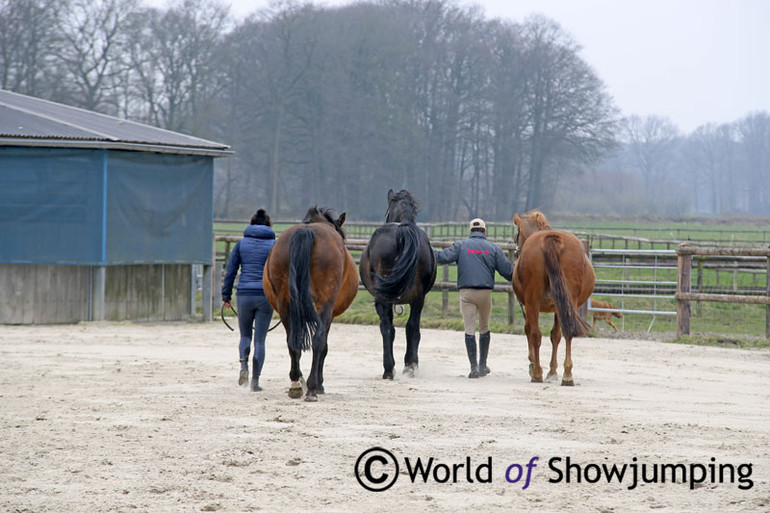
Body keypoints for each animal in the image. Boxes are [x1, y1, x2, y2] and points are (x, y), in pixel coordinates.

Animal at [262, 206, 358, 402]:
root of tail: (306, 231)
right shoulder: (329, 314)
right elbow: (324, 346)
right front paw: (319, 384)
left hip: (285, 305)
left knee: (292, 342)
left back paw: (296, 384)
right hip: (324, 304)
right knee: (318, 340)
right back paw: (313, 387)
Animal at [358, 190, 436, 378]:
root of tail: (403, 230)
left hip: (386, 298)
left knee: (388, 328)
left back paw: (391, 368)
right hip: (417, 299)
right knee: (410, 327)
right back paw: (406, 366)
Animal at [510, 211, 592, 384]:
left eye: (516, 236)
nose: (517, 252)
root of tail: (550, 239)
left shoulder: (530, 305)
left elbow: (530, 330)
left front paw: (534, 364)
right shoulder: (557, 306)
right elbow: (555, 335)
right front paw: (552, 371)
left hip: (533, 302)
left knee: (535, 333)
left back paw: (537, 373)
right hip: (568, 303)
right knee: (567, 332)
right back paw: (567, 374)